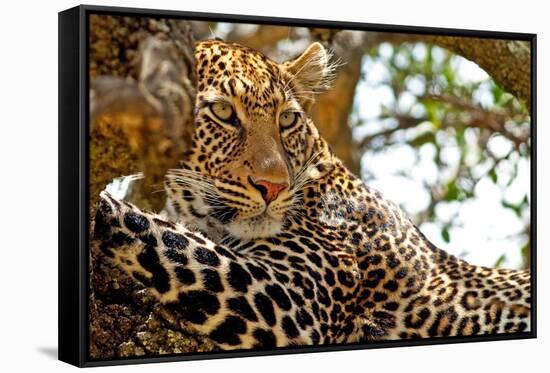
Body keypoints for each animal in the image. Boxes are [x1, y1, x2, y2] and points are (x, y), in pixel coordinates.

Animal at [92, 39, 532, 350]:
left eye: (287, 119)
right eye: (223, 113)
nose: (274, 186)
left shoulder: (290, 300)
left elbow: (168, 238)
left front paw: (103, 207)